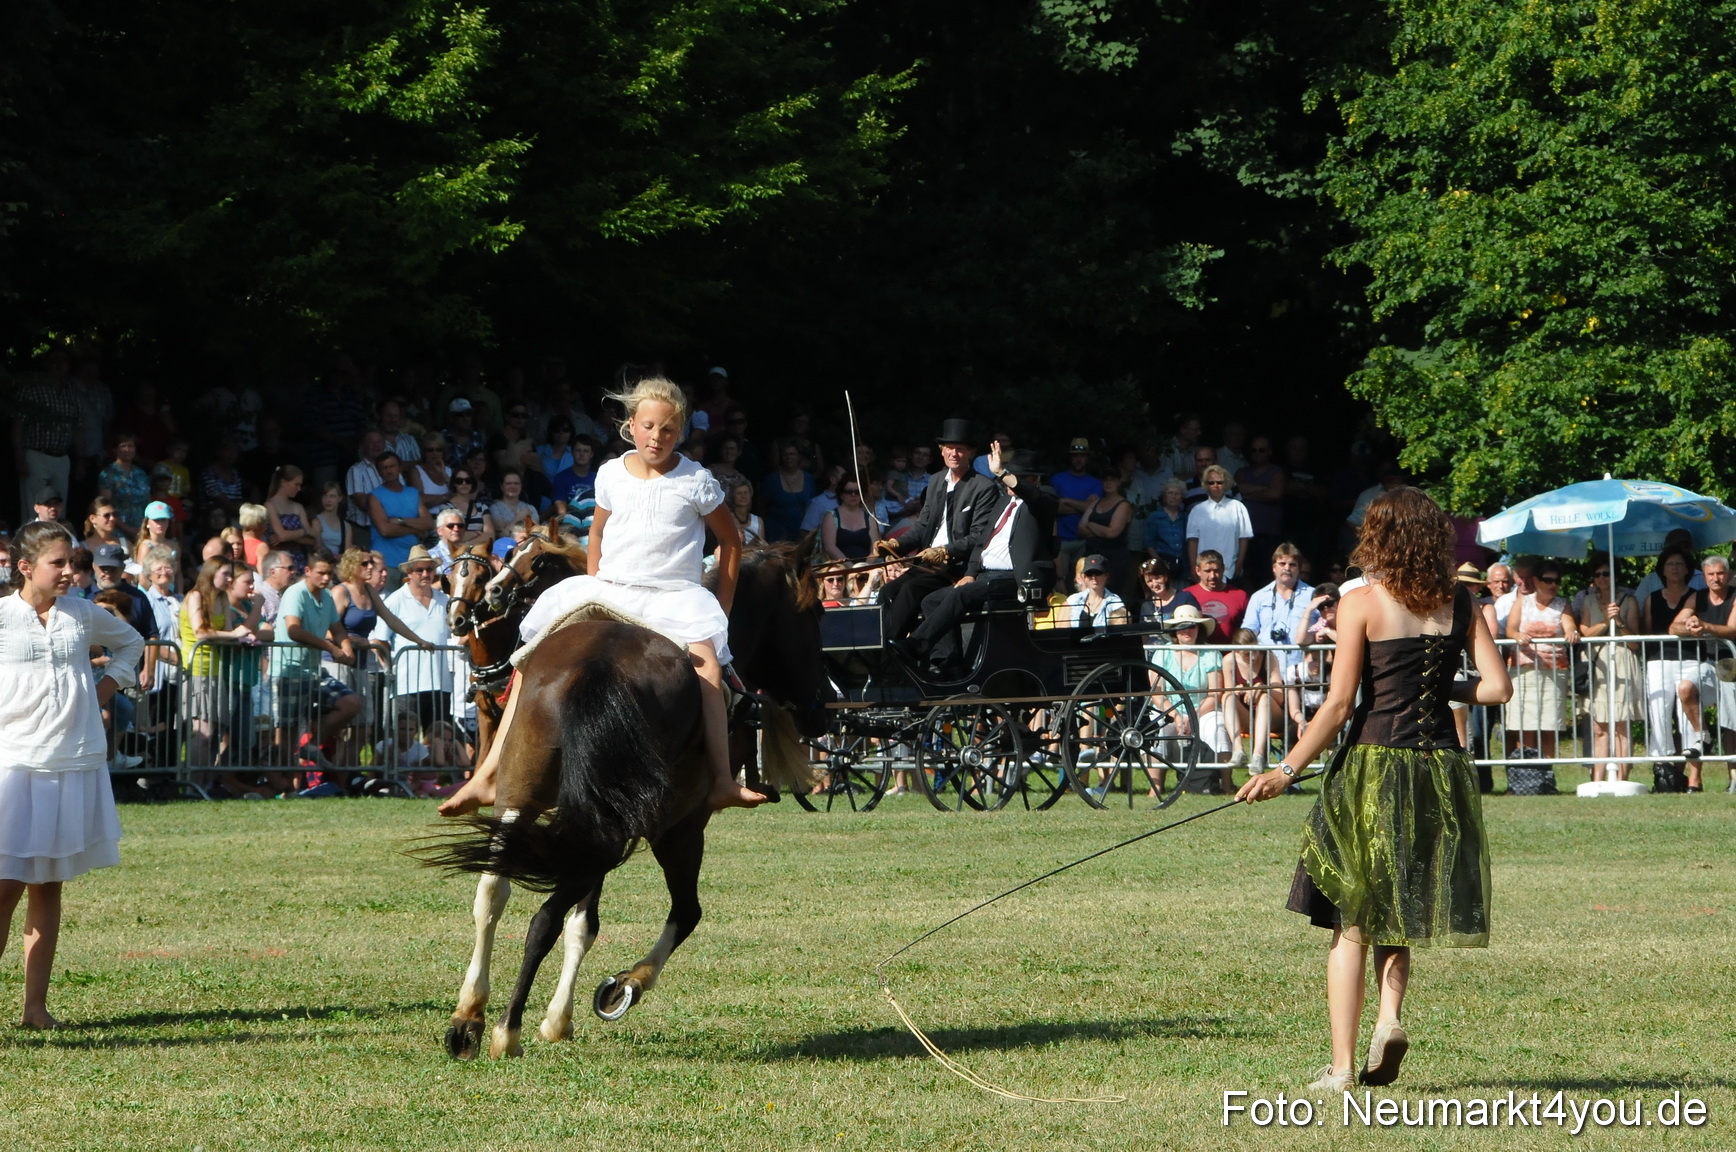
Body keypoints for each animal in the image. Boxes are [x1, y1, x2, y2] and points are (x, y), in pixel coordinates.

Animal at [420, 542, 832, 1060]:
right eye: (815, 613)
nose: (823, 705)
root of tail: (599, 663)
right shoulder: (681, 828)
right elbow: (680, 913)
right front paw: (622, 987)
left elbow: (580, 923)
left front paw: (559, 1016)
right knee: (548, 917)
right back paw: (506, 1029)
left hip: (528, 795)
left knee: (493, 892)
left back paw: (469, 1017)